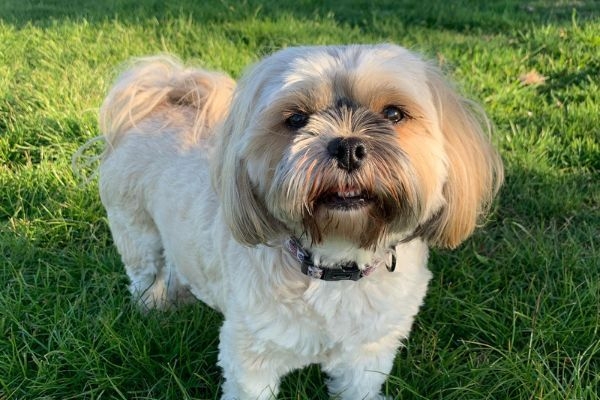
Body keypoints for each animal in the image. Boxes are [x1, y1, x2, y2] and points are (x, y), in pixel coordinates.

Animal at [97, 44, 502, 400]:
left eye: (393, 114)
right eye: (296, 119)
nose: (348, 147)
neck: (335, 265)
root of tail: (165, 96)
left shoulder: (367, 354)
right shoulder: (250, 357)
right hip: (136, 232)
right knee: (147, 272)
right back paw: (151, 306)